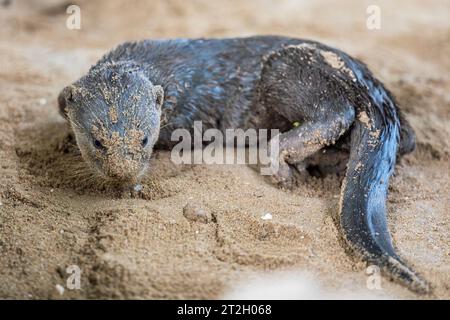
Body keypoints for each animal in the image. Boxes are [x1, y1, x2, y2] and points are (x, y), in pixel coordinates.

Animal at [58, 36, 428, 294]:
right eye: (98, 141)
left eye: (145, 139)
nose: (122, 173)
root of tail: (369, 89)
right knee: (408, 139)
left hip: (293, 68)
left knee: (335, 111)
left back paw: (279, 160)